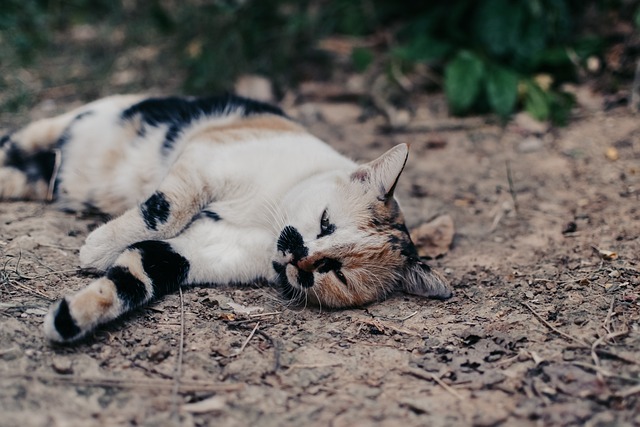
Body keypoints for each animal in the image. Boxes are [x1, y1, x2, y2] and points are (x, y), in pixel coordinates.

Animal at [0, 94, 450, 344]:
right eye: (325, 223)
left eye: (335, 271)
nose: (299, 259)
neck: (266, 222)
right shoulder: (202, 161)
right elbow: (161, 212)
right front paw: (99, 247)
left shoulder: (193, 253)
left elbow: (132, 277)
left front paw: (69, 321)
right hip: (50, 130)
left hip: (39, 179)